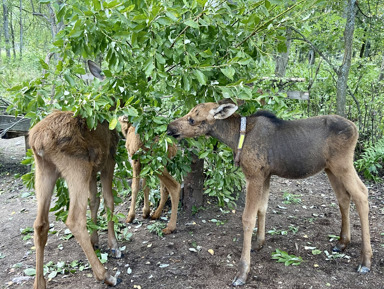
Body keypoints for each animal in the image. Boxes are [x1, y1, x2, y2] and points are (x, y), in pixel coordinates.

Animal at [29, 111, 121, 288]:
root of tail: (39, 141)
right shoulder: (109, 158)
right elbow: (108, 200)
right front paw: (113, 246)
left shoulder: (93, 171)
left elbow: (94, 201)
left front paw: (95, 240)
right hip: (78, 167)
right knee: (74, 219)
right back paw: (105, 275)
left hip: (44, 170)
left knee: (40, 224)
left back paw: (39, 283)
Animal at [167, 102, 372, 286]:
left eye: (192, 119)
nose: (170, 128)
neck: (236, 138)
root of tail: (355, 129)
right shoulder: (265, 175)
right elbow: (262, 208)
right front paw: (259, 243)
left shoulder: (254, 176)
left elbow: (248, 218)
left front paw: (242, 272)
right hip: (330, 169)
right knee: (344, 198)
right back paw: (342, 242)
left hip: (343, 164)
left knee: (362, 194)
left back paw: (365, 261)